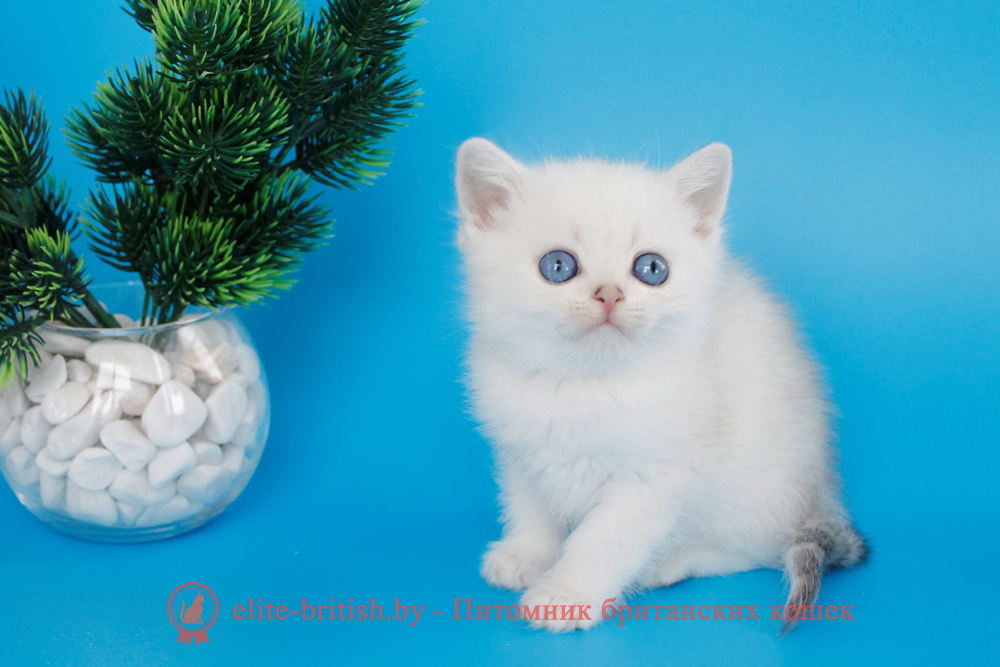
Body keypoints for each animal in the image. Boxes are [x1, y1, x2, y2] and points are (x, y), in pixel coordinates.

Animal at [454, 137, 866, 634]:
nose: (610, 295)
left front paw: (565, 594)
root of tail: (822, 492)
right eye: (557, 265)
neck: (585, 383)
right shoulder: (521, 453)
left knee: (757, 549)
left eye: (651, 268)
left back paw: (669, 564)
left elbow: (603, 539)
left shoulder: (652, 480)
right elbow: (530, 509)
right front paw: (526, 555)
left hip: (756, 488)